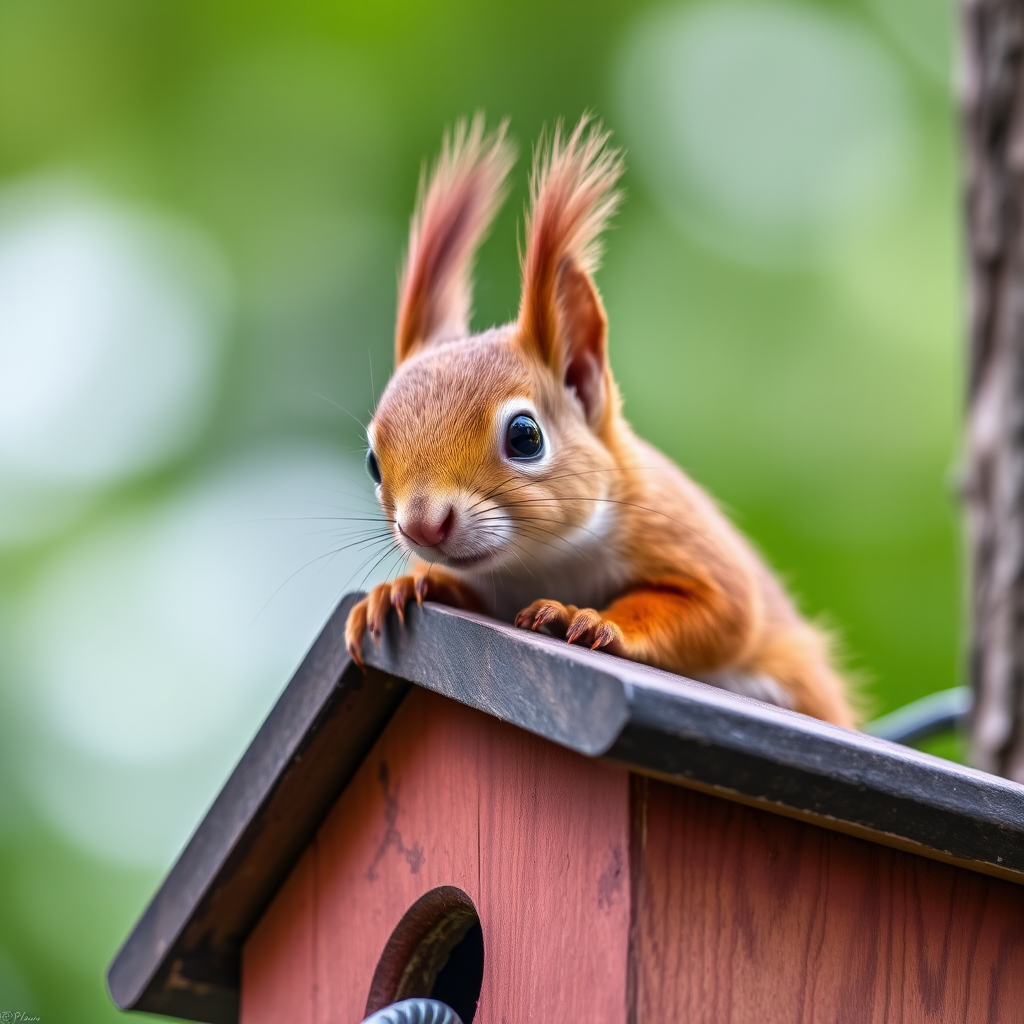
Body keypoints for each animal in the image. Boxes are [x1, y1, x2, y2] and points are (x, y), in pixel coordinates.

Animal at [344, 115, 855, 729]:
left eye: (525, 436)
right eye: (373, 462)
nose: (422, 526)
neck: (541, 565)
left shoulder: (683, 536)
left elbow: (720, 612)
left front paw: (584, 618)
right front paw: (405, 587)